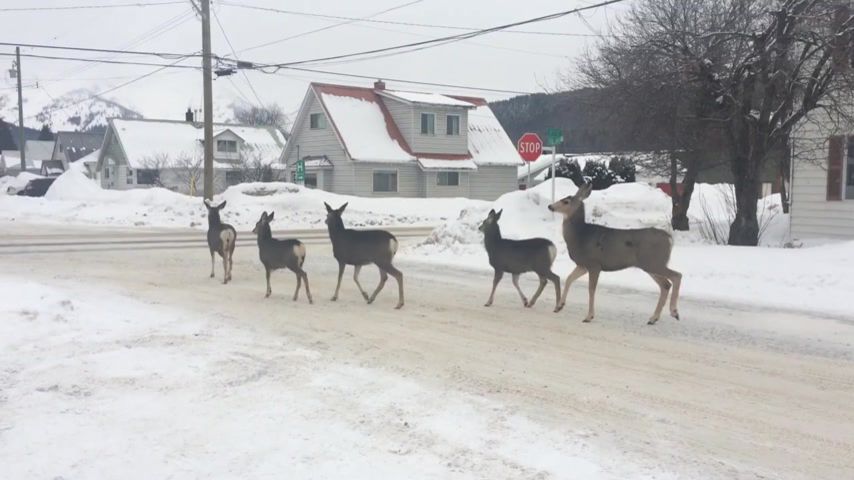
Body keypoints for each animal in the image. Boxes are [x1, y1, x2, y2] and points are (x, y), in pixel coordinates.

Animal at [552, 182, 684, 324]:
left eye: (566, 201)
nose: (550, 206)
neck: (580, 235)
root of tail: (669, 238)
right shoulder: (583, 265)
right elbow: (569, 279)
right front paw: (559, 306)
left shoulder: (594, 264)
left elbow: (591, 289)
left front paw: (589, 316)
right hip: (650, 264)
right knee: (665, 285)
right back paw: (653, 318)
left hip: (654, 262)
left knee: (677, 276)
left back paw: (674, 312)